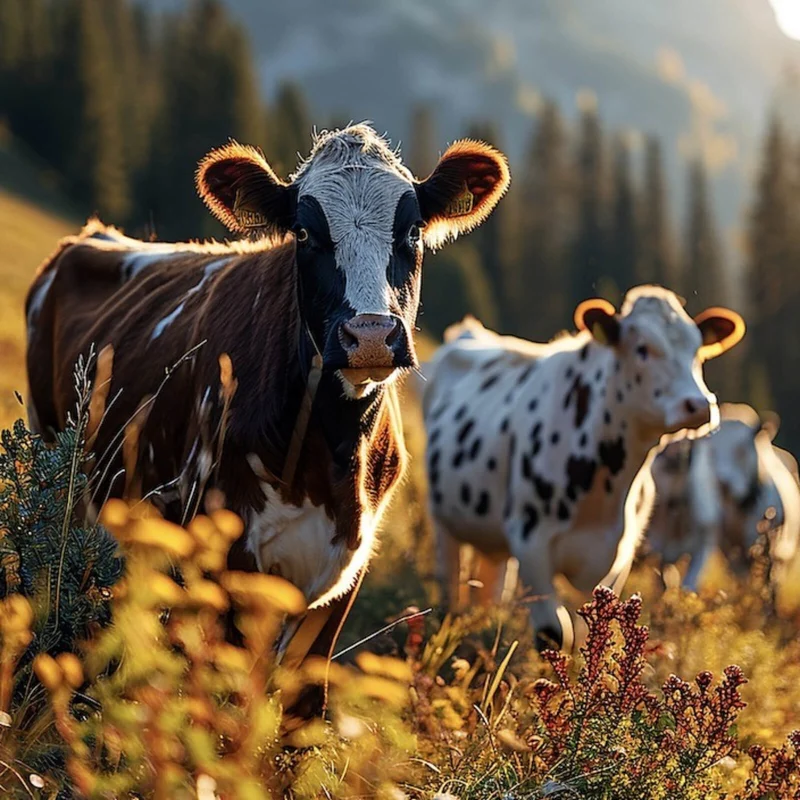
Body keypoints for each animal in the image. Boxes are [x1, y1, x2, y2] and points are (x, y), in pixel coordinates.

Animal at [25, 123, 510, 666]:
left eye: (412, 231)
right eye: (304, 233)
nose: (368, 335)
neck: (333, 450)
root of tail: (93, 235)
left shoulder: (347, 569)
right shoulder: (227, 553)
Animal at [422, 286, 745, 651]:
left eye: (697, 352)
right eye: (642, 348)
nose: (699, 405)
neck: (605, 489)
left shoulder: (620, 555)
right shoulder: (530, 541)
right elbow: (555, 633)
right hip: (443, 520)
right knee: (450, 578)